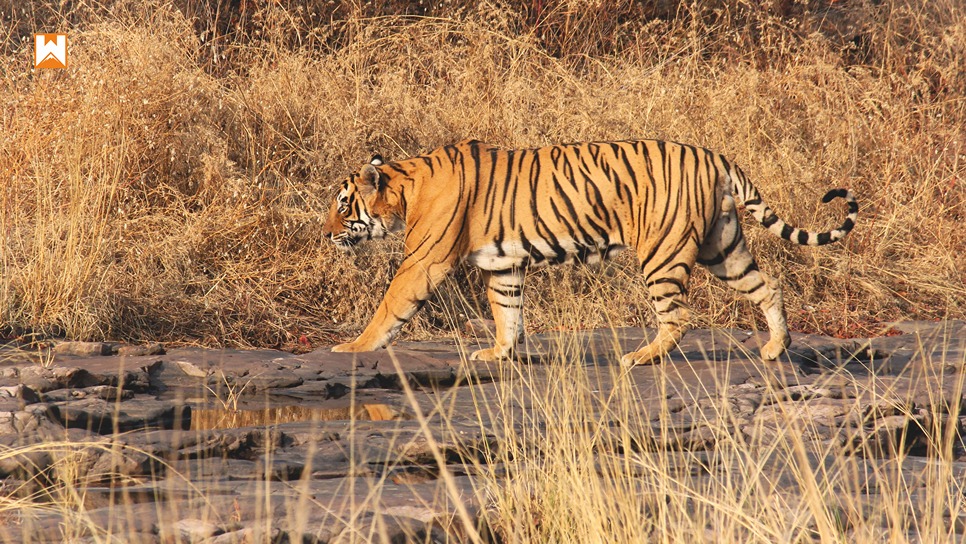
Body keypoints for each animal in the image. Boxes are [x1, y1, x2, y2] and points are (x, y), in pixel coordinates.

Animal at [322, 139, 857, 367]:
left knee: (677, 316)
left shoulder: (423, 261)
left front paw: (352, 348)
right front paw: (499, 353)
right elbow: (507, 313)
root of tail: (717, 157)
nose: (325, 235)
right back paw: (776, 347)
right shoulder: (504, 265)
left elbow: (390, 306)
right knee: (768, 286)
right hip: (722, 247)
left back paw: (639, 358)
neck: (405, 188)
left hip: (663, 252)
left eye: (342, 206)